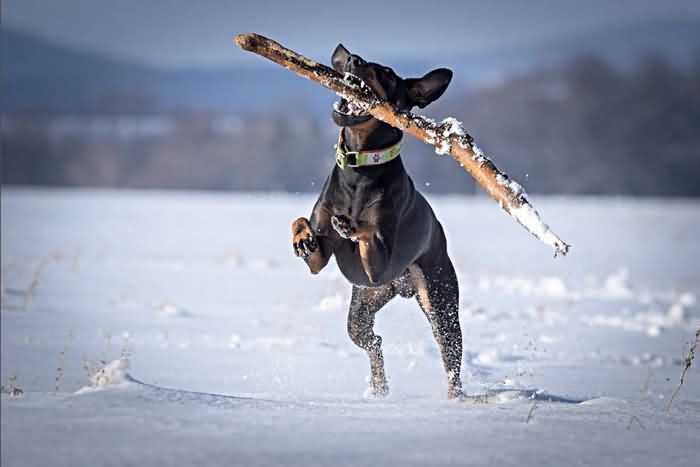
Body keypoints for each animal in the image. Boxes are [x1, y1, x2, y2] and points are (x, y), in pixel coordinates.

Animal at [288, 44, 460, 400]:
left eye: (388, 75)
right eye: (361, 59)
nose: (354, 60)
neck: (359, 166)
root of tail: (402, 286)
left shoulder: (378, 267)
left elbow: (370, 233)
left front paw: (351, 226)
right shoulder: (323, 261)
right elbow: (303, 225)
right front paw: (303, 238)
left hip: (438, 300)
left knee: (449, 356)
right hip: (364, 305)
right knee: (372, 341)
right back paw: (379, 390)